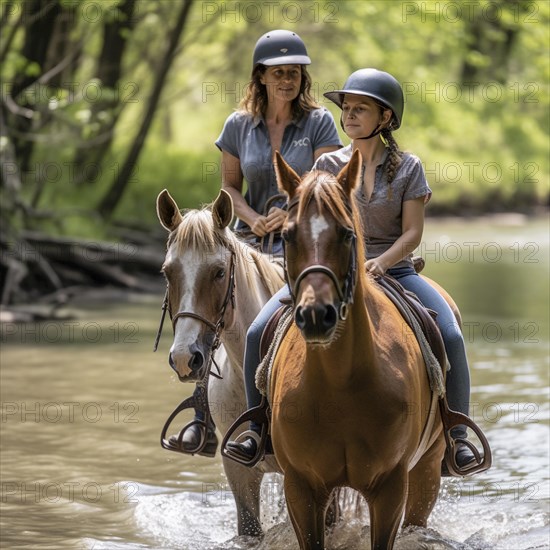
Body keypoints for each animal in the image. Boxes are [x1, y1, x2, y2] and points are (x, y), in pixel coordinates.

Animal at [272, 150, 448, 550]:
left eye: (346, 234)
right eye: (287, 235)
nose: (316, 316)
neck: (340, 380)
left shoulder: (390, 487)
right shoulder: (301, 487)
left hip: (428, 469)